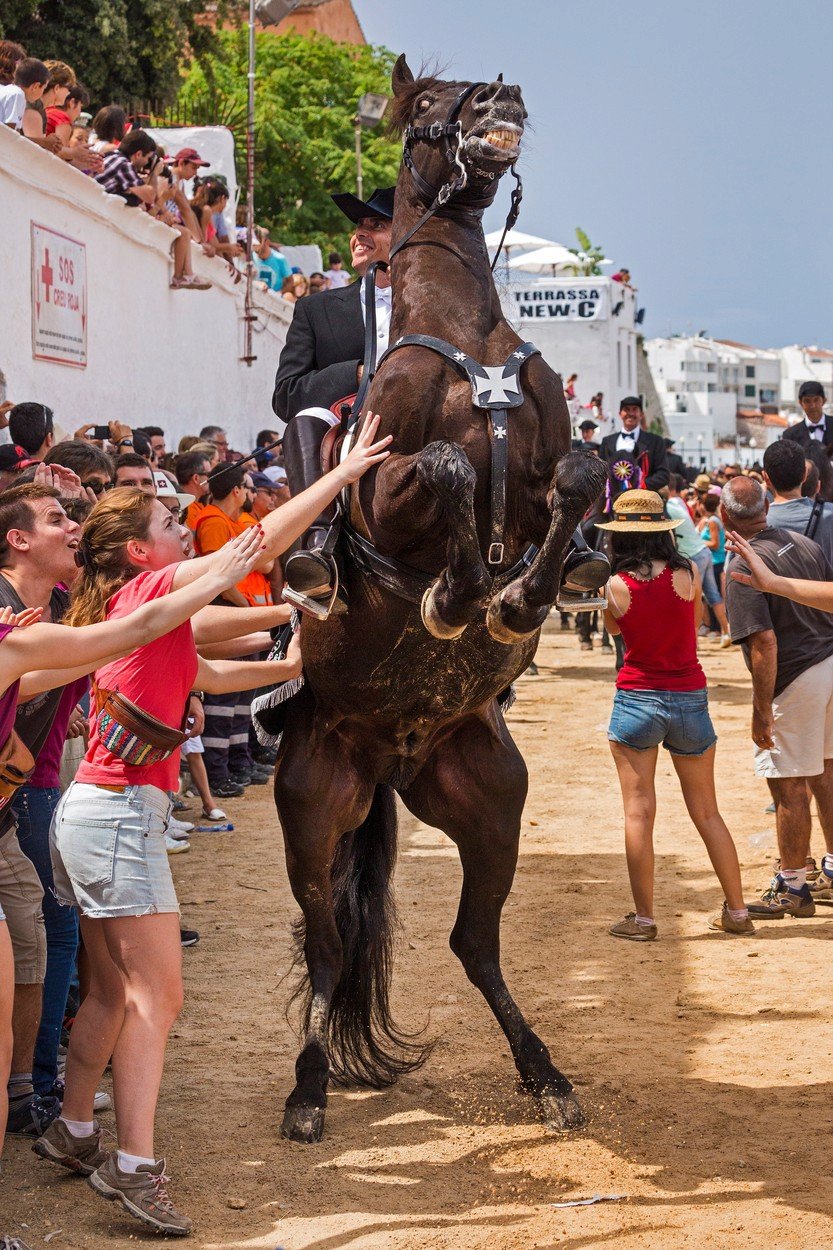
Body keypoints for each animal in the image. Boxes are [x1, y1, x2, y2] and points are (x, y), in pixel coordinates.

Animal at [272, 60, 602, 1150]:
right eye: (426, 106)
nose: (498, 106)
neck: (466, 336)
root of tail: (387, 757)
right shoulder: (381, 480)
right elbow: (453, 468)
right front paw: (460, 597)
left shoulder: (544, 466)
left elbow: (577, 476)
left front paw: (525, 593)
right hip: (311, 806)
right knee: (327, 946)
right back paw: (307, 1093)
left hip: (490, 800)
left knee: (473, 942)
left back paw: (544, 1073)